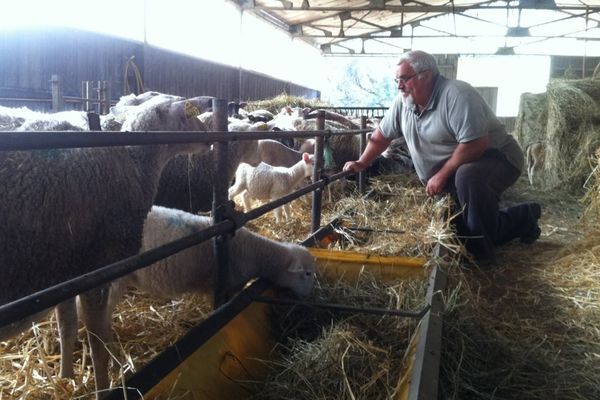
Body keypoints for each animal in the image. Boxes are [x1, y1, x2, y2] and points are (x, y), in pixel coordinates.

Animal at [0, 96, 211, 396]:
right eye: (187, 115)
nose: (209, 138)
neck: (135, 165)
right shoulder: (95, 272)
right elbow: (97, 342)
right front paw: (101, 387)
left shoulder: (66, 273)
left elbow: (67, 326)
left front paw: (66, 378)